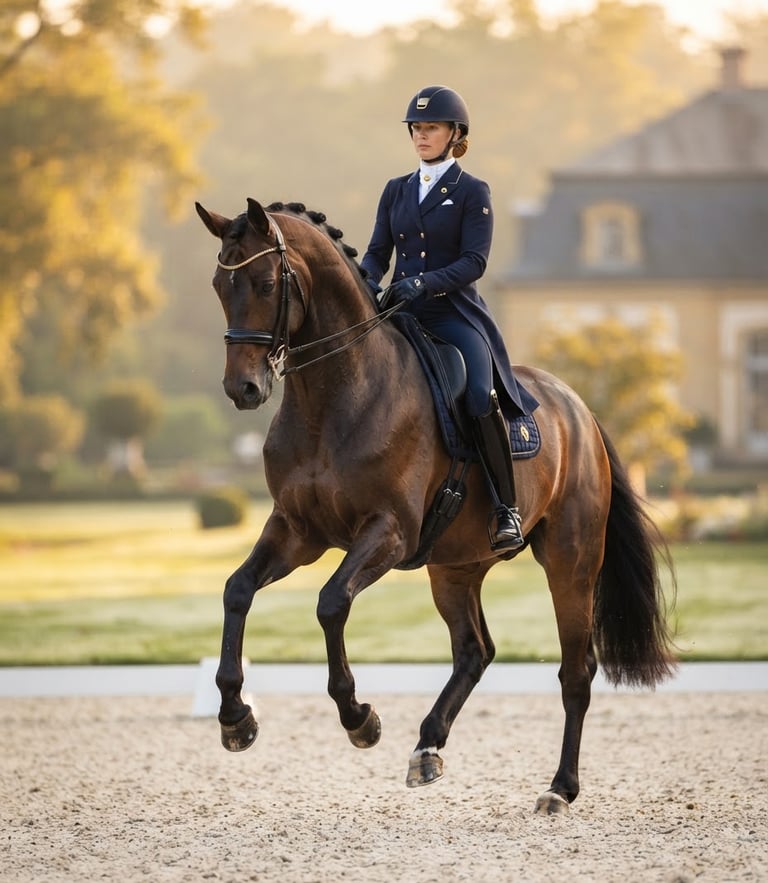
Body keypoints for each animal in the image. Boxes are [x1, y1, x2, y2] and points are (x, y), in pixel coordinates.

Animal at [195, 197, 677, 814]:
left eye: (263, 282)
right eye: (218, 284)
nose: (244, 389)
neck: (334, 396)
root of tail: (580, 409)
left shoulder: (388, 532)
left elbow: (330, 602)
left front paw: (359, 717)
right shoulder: (297, 530)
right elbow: (237, 590)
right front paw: (236, 717)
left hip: (570, 561)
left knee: (576, 671)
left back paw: (559, 788)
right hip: (455, 566)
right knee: (475, 650)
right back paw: (427, 745)